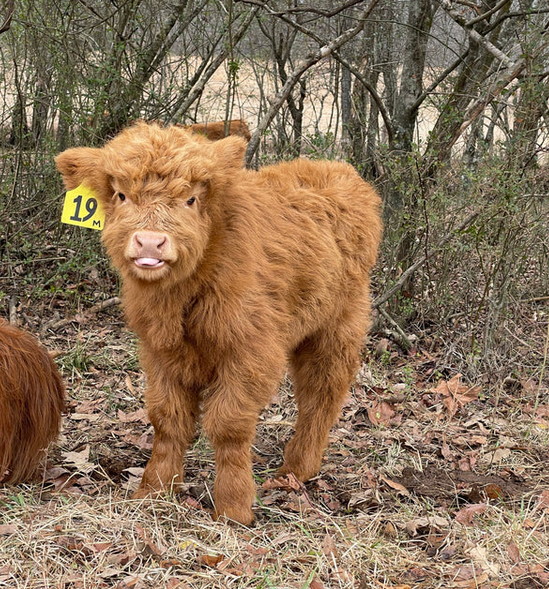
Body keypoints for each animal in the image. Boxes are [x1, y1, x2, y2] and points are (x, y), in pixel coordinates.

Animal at [55, 120, 382, 524]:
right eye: (120, 195)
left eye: (191, 199)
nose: (150, 243)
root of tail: (337, 170)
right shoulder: (159, 352)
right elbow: (167, 420)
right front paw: (154, 491)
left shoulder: (251, 351)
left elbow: (229, 426)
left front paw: (233, 506)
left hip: (337, 326)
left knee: (320, 396)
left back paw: (296, 468)